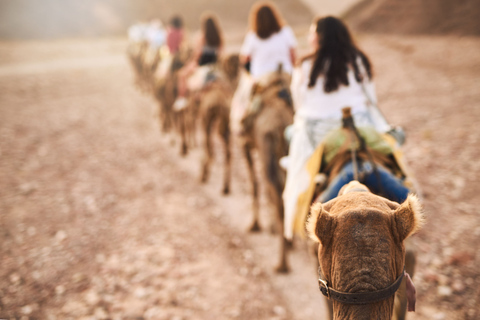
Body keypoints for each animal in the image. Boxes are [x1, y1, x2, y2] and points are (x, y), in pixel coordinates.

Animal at [242, 68, 294, 272]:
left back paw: (281, 264)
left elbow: (254, 185)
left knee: (277, 199)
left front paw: (255, 225)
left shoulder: (246, 146)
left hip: (267, 156)